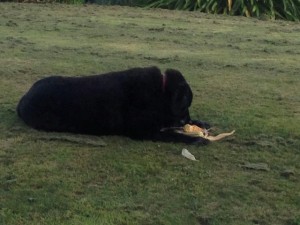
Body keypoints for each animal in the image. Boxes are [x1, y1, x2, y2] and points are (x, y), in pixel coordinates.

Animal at [16, 66, 209, 144]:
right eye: (184, 105)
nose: (187, 121)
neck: (161, 91)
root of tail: (23, 98)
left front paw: (201, 123)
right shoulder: (144, 131)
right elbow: (173, 135)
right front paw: (196, 138)